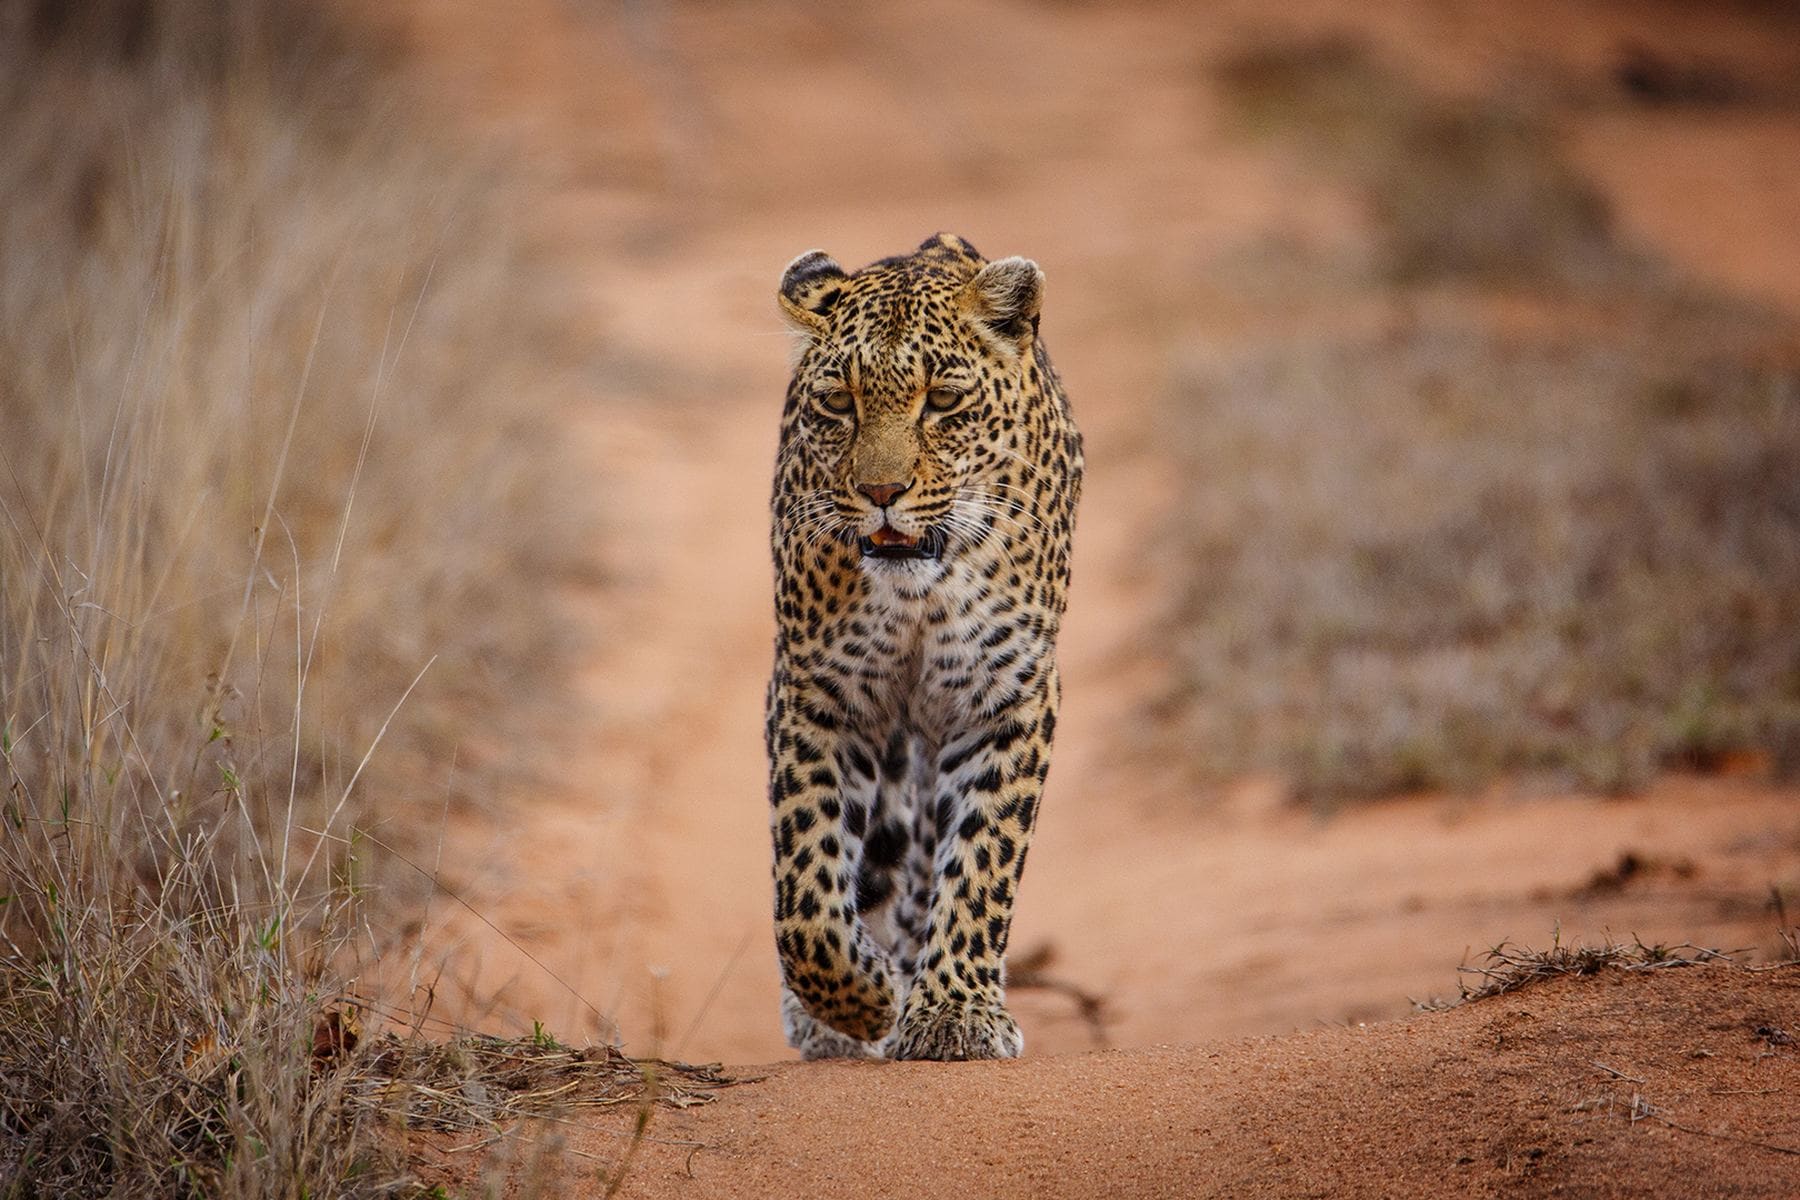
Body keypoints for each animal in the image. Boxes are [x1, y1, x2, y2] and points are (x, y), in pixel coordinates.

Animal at [765, 232, 1083, 1061]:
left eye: (941, 401)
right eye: (838, 403)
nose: (882, 493)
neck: (916, 590)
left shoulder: (1005, 693)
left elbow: (981, 863)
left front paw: (953, 1015)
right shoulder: (820, 693)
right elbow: (806, 893)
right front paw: (861, 1001)